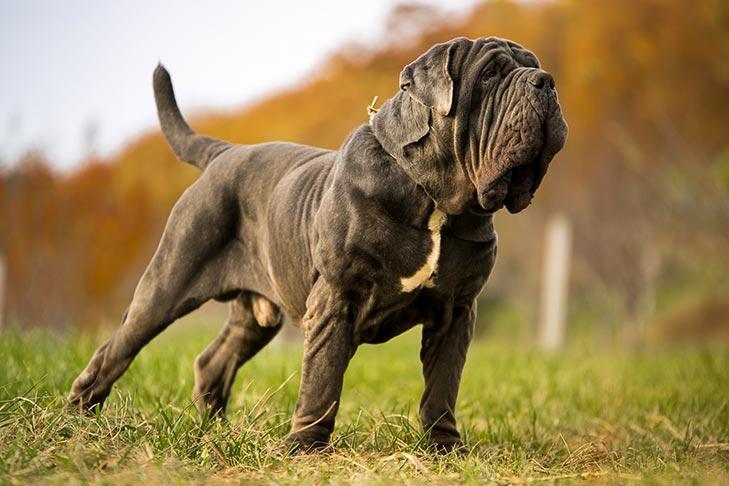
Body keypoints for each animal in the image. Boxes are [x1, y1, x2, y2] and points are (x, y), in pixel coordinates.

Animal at [68, 35, 568, 452]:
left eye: (533, 67)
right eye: (490, 75)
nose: (546, 81)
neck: (432, 197)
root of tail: (224, 153)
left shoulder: (456, 311)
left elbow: (442, 385)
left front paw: (444, 448)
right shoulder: (336, 299)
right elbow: (323, 379)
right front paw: (306, 447)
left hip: (255, 315)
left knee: (213, 361)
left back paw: (215, 431)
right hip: (167, 282)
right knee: (117, 349)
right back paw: (77, 420)